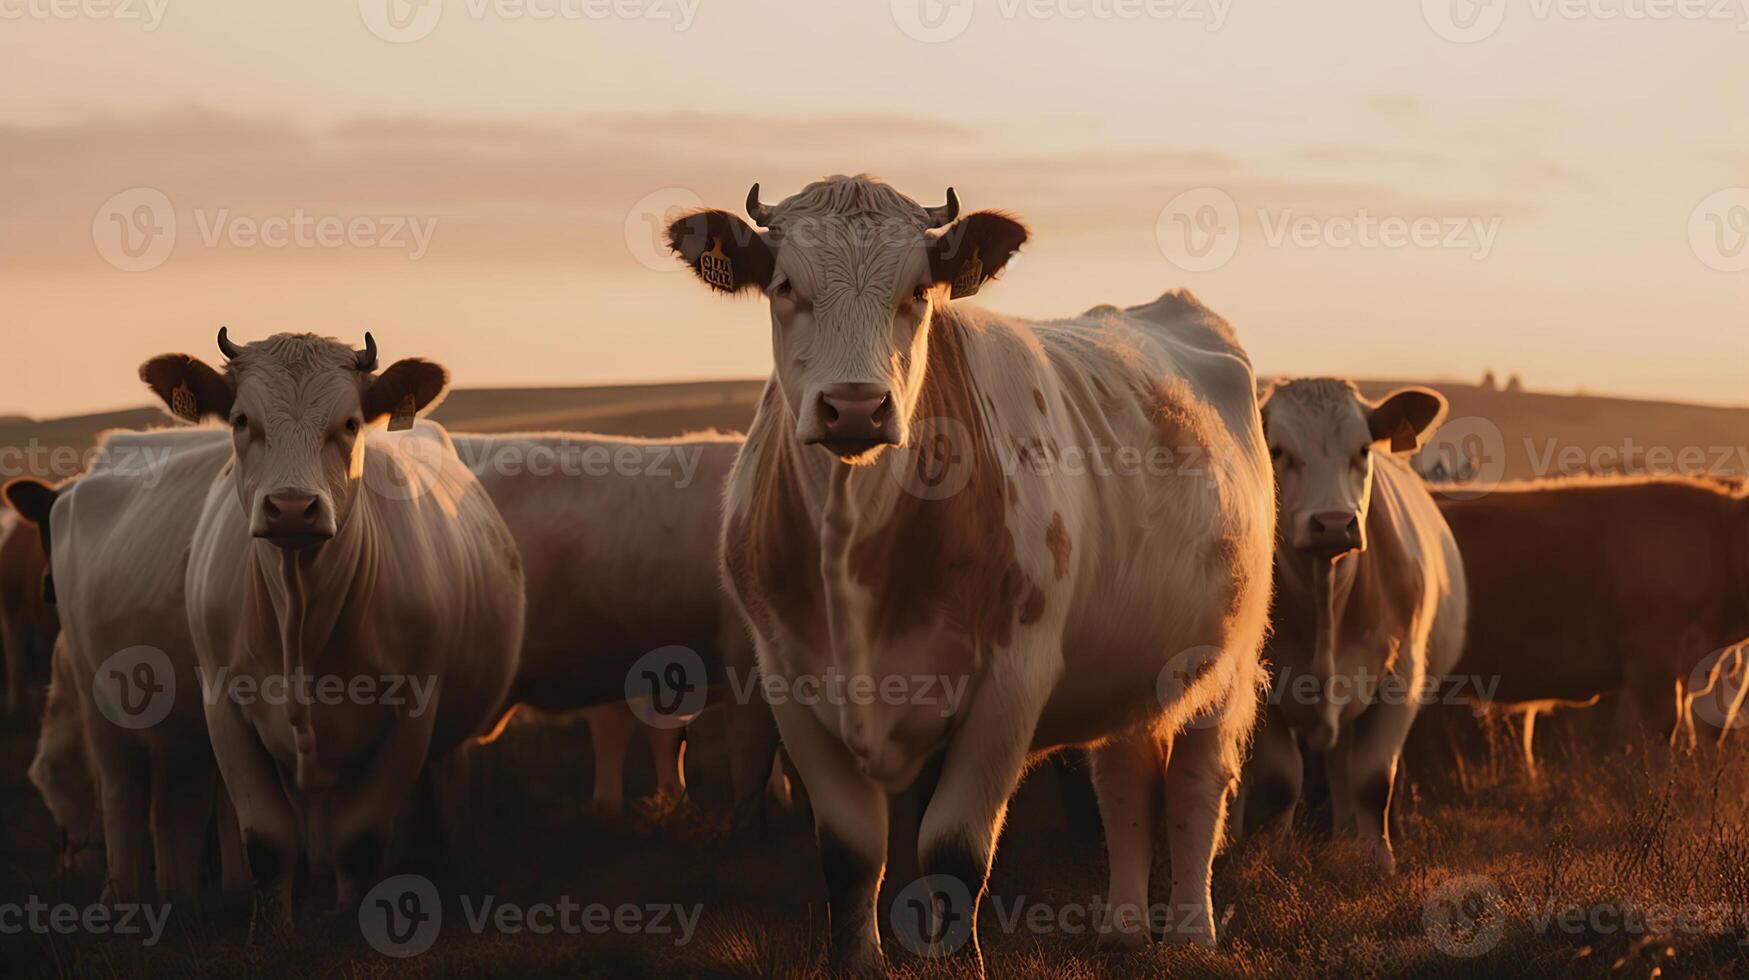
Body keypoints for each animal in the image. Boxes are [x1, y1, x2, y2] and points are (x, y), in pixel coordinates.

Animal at [141, 332, 524, 924]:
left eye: (349, 423)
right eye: (241, 419)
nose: (291, 508)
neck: (301, 619)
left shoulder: (414, 712)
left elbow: (360, 839)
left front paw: (351, 917)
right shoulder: (223, 705)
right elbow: (268, 843)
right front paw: (274, 927)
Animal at [657, 177, 1273, 973]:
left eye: (919, 291)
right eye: (785, 286)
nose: (854, 406)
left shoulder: (1012, 680)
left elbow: (952, 849)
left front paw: (957, 961)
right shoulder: (789, 681)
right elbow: (851, 854)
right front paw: (860, 963)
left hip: (1222, 659)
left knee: (1198, 788)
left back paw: (1192, 934)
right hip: (1131, 664)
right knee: (1125, 782)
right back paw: (1123, 928)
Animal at [1238, 381, 1469, 871]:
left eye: (1363, 449)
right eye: (1277, 450)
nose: (1332, 523)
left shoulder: (1401, 677)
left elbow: (1372, 779)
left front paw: (1377, 860)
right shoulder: (1261, 687)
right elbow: (1279, 781)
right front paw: (1273, 856)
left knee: (1342, 765)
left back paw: (1346, 835)